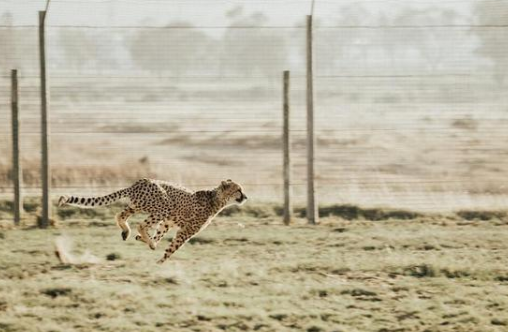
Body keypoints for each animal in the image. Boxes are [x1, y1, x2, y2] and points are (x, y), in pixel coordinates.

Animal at [57, 178, 248, 264]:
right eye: (238, 190)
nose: (245, 197)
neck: (216, 198)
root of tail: (139, 182)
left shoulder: (167, 222)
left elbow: (160, 234)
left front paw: (147, 241)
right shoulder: (185, 231)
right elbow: (172, 248)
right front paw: (159, 261)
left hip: (138, 206)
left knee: (121, 215)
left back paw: (128, 232)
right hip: (162, 206)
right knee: (141, 224)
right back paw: (142, 237)